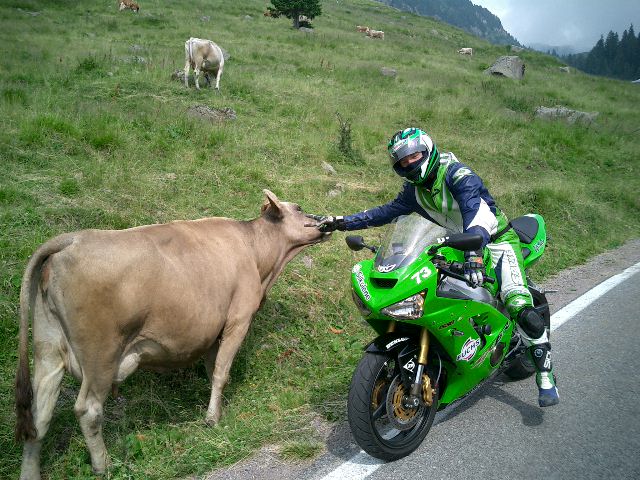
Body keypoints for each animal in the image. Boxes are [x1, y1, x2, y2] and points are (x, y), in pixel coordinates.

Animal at [15, 190, 329, 479]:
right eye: (299, 208)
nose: (325, 221)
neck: (258, 255)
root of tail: (71, 241)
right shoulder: (238, 319)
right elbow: (221, 372)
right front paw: (212, 420)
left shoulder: (212, 330)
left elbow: (212, 368)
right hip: (100, 354)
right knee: (88, 410)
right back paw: (103, 466)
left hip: (47, 347)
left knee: (39, 415)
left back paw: (31, 472)